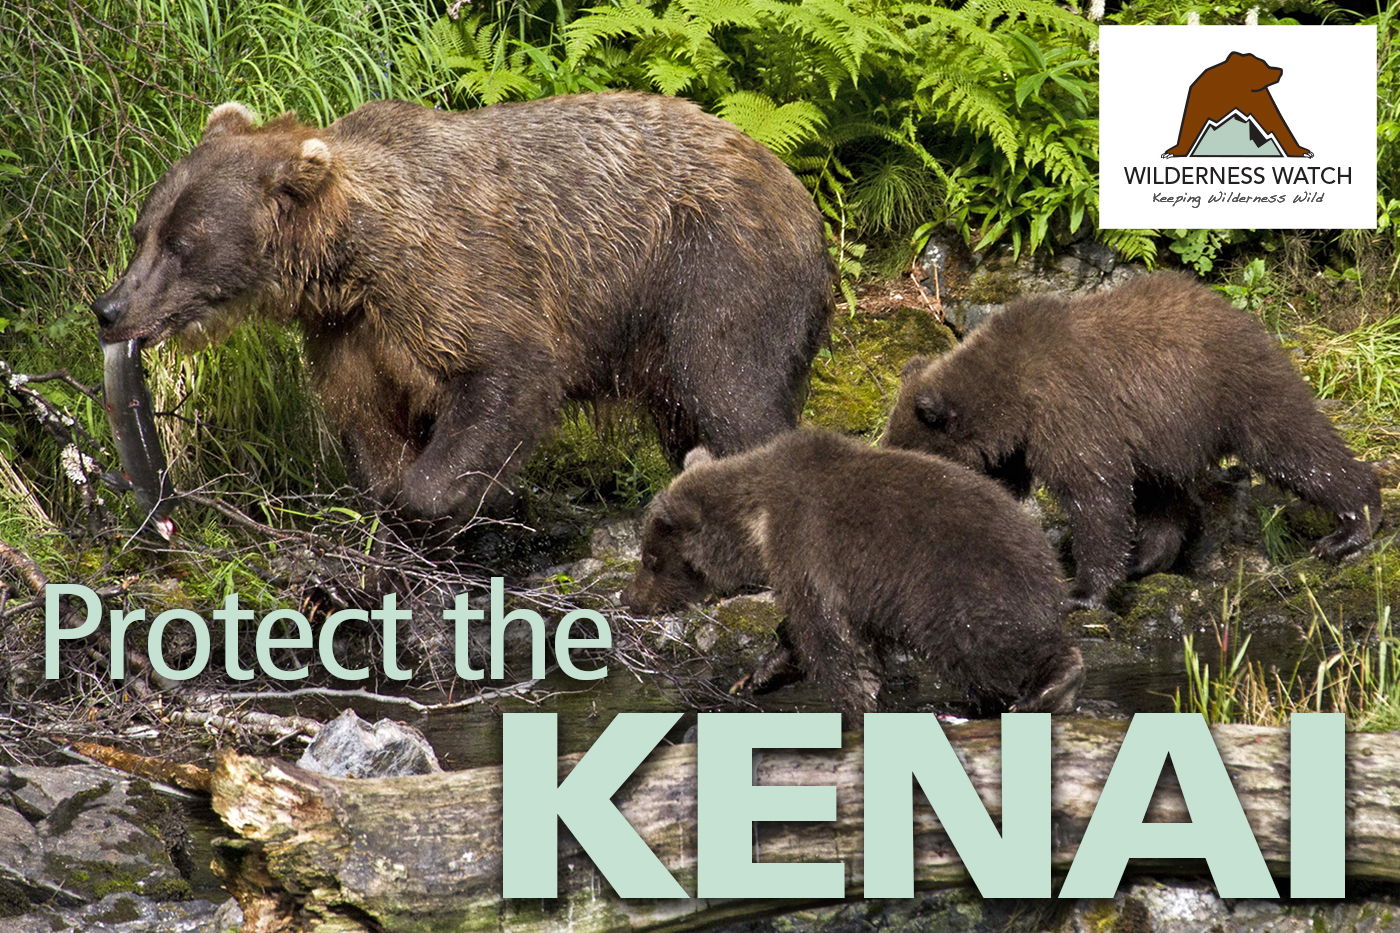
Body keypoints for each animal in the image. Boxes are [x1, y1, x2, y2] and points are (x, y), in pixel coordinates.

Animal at [93, 94, 834, 523]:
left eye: (184, 244)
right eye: (142, 229)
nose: (109, 306)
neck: (350, 263)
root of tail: (801, 192)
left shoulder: (454, 279)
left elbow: (507, 375)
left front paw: (455, 496)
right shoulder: (349, 332)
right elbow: (368, 417)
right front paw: (392, 495)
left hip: (711, 269)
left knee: (731, 390)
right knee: (687, 412)